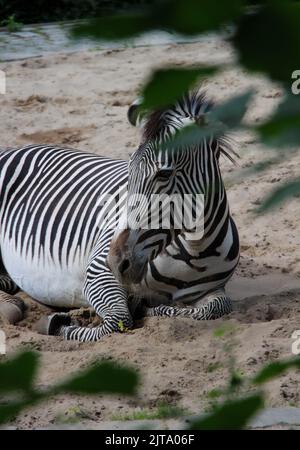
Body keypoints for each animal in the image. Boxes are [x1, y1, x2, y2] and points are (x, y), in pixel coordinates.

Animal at [0, 93, 239, 342]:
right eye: (129, 170)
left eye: (164, 173)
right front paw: (56, 324)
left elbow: (216, 307)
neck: (193, 252)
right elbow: (118, 320)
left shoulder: (213, 291)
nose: (115, 261)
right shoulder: (97, 269)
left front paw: (148, 308)